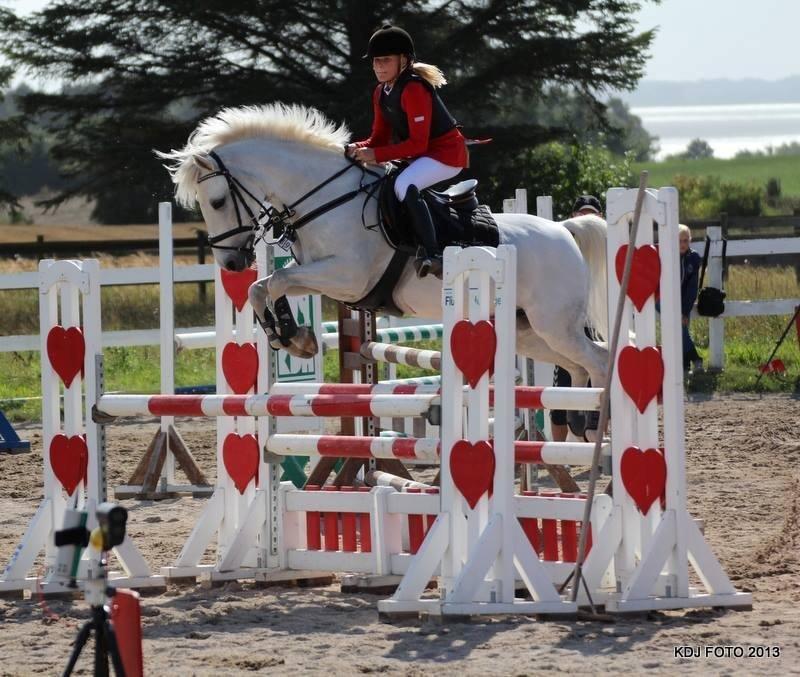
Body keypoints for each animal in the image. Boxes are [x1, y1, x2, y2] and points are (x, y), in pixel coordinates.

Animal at [158, 103, 610, 392]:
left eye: (217, 202)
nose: (231, 262)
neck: (328, 197)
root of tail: (564, 230)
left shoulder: (346, 276)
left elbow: (277, 279)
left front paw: (291, 336)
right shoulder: (324, 277)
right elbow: (263, 286)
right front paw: (290, 336)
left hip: (554, 324)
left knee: (599, 362)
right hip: (530, 331)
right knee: (578, 367)